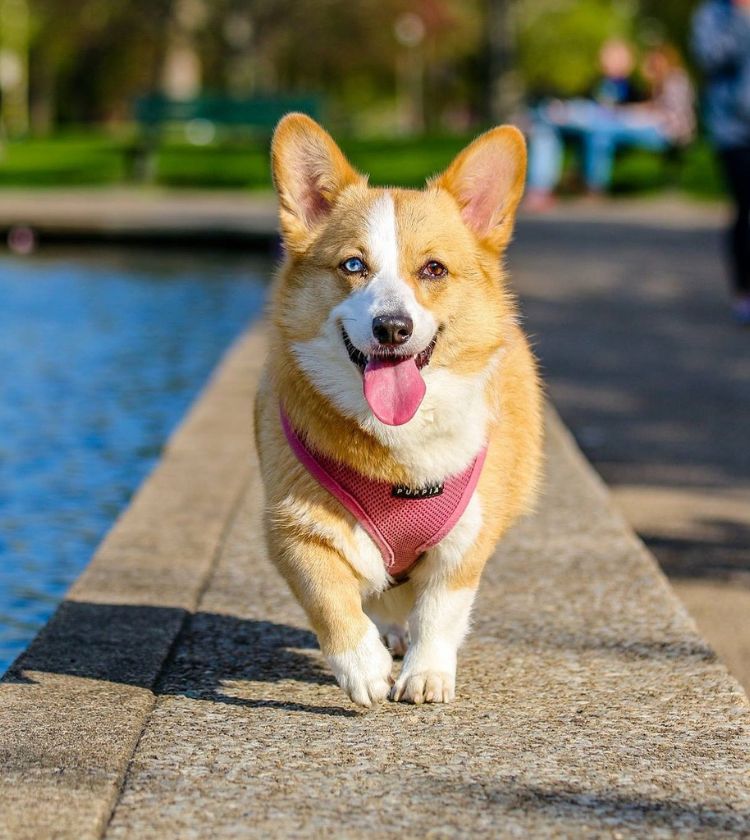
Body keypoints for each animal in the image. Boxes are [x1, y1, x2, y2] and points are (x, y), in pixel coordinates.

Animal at [256, 110, 544, 704]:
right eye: (352, 265)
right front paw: (362, 667)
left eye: (433, 269)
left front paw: (426, 674)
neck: (399, 446)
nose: (393, 327)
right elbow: (329, 598)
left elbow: (440, 610)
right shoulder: (293, 527)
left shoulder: (466, 539)